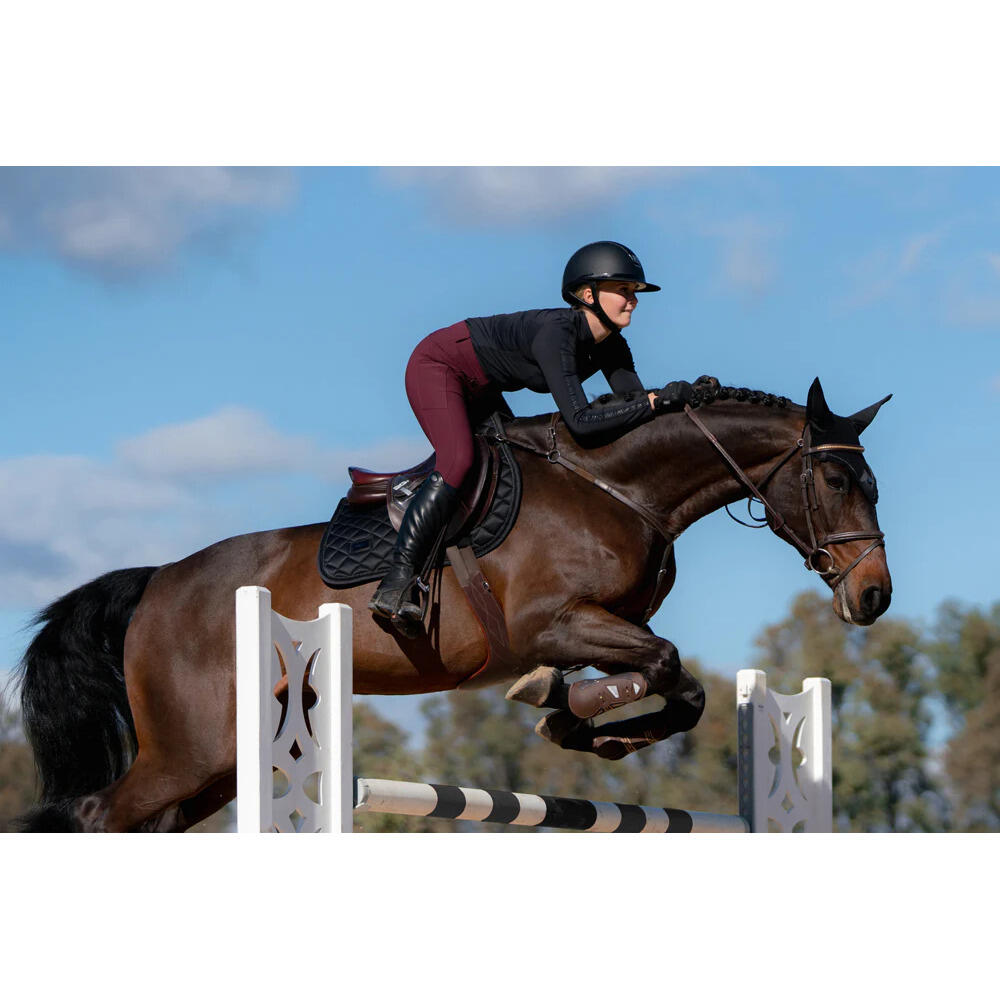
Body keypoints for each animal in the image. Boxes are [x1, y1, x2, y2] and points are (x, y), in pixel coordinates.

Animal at [12, 376, 892, 831]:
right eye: (836, 479)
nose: (874, 595)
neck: (618, 487)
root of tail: (158, 580)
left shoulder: (612, 625)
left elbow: (685, 688)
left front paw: (588, 724)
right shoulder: (551, 624)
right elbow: (662, 664)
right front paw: (565, 709)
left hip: (221, 764)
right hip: (187, 752)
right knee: (95, 812)